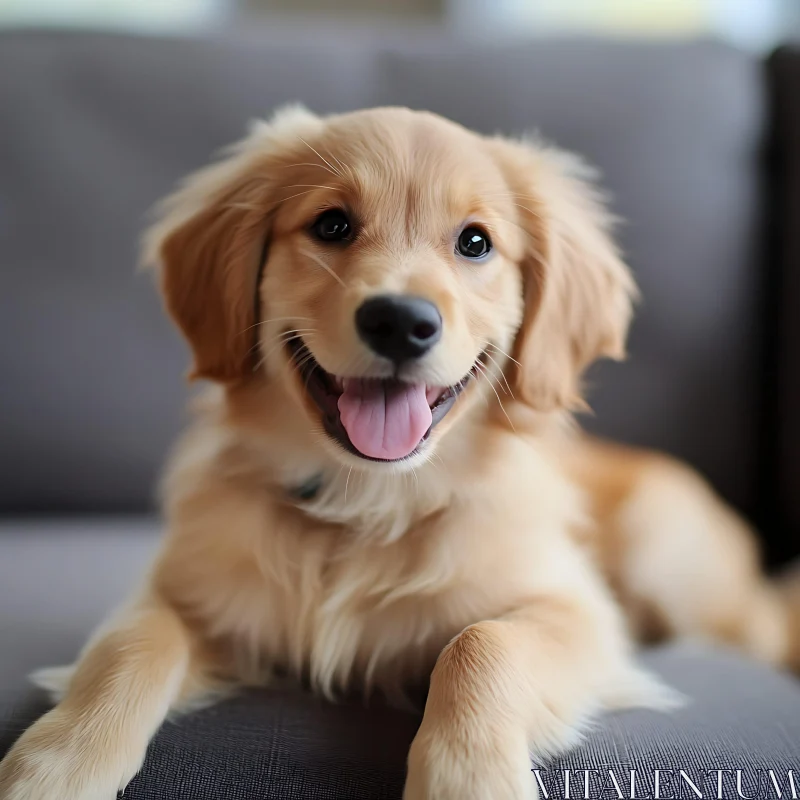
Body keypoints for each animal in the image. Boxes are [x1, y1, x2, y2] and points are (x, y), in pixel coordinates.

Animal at [1, 106, 800, 800]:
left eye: (475, 242)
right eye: (331, 224)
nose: (399, 321)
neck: (367, 501)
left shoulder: (579, 613)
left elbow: (479, 643)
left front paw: (468, 778)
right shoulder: (183, 590)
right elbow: (128, 646)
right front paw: (57, 764)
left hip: (668, 552)